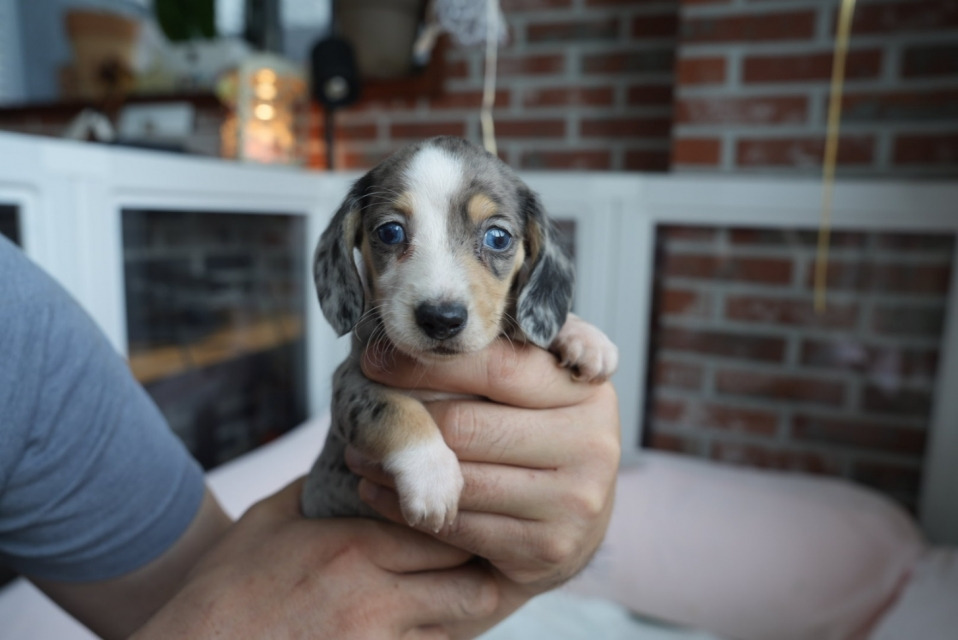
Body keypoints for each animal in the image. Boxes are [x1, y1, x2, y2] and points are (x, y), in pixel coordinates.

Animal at [301, 136, 618, 532]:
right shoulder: (349, 384)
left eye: (498, 237)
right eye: (390, 232)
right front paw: (432, 477)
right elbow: (394, 408)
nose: (441, 319)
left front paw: (584, 337)